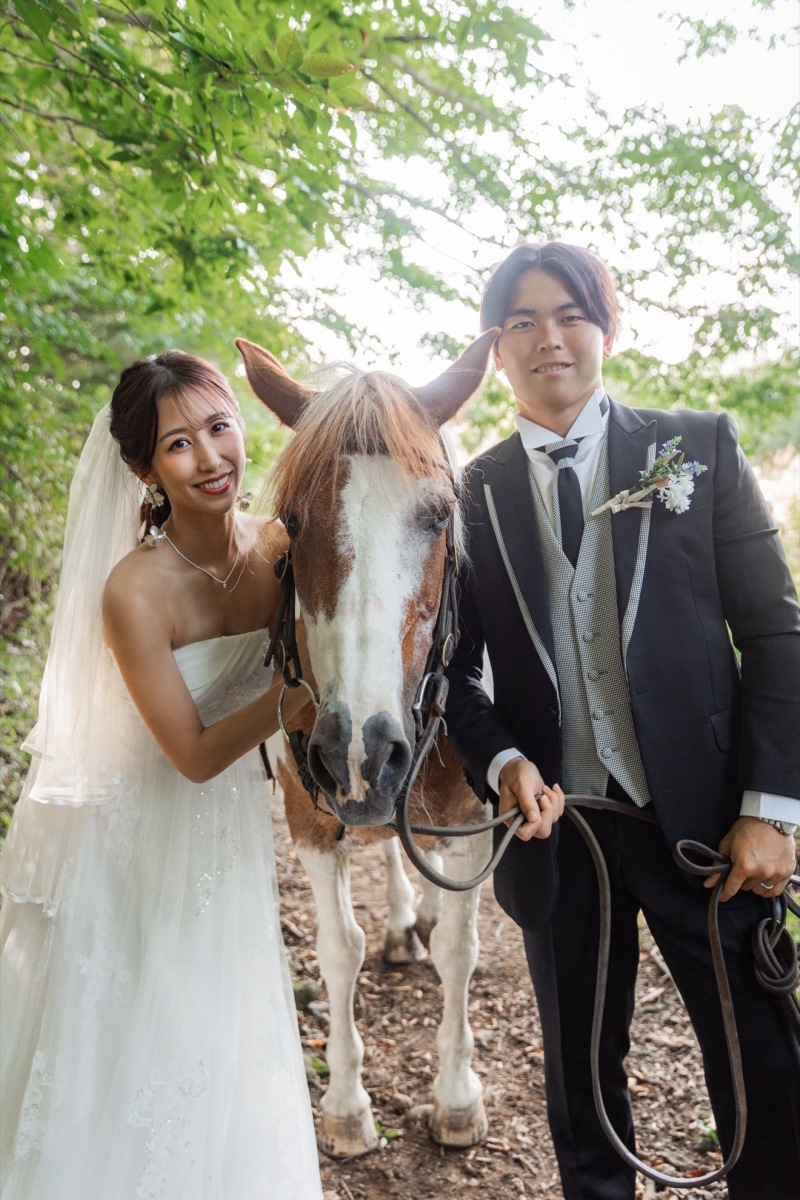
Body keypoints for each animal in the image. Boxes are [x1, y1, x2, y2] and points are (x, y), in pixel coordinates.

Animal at [237, 332, 499, 1159]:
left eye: (440, 514)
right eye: (291, 519)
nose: (359, 750)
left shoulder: (474, 824)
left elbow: (460, 951)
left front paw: (457, 1097)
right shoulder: (311, 822)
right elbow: (338, 949)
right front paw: (348, 1107)